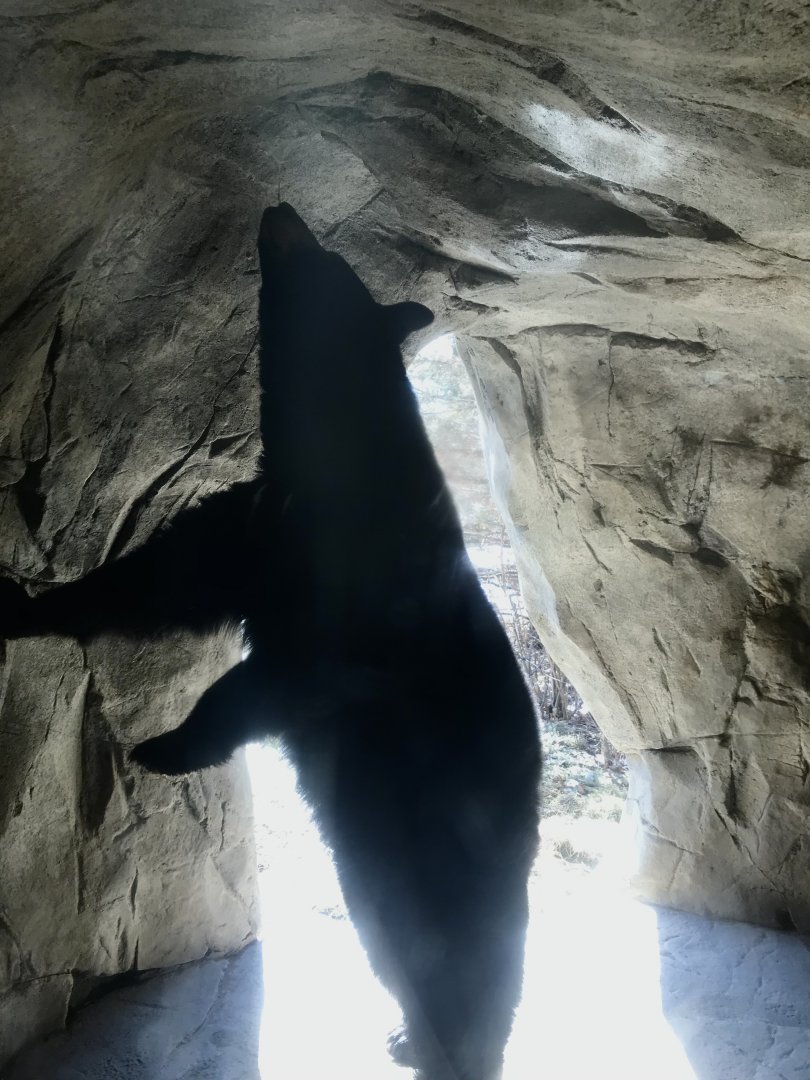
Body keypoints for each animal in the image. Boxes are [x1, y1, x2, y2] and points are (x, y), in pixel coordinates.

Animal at [0, 204, 541, 1080]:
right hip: (371, 850)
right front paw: (19, 601)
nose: (283, 209)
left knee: (462, 941)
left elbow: (280, 675)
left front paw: (165, 746)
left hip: (449, 813)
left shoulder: (356, 600)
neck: (331, 465)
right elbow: (156, 580)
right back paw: (410, 1034)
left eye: (330, 256)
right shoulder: (255, 526)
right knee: (397, 936)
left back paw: (456, 1049)